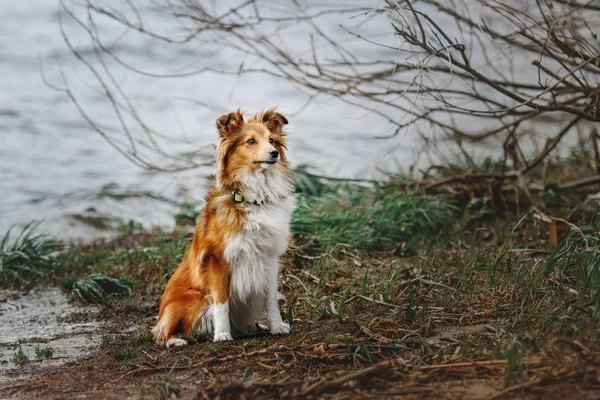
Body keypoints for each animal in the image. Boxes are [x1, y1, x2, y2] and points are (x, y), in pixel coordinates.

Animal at [152, 108, 296, 346]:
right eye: (251, 141)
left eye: (272, 140)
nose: (274, 153)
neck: (254, 197)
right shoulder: (218, 260)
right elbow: (221, 301)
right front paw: (221, 334)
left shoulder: (269, 257)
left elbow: (271, 298)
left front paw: (277, 326)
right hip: (191, 301)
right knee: (161, 331)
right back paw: (176, 340)